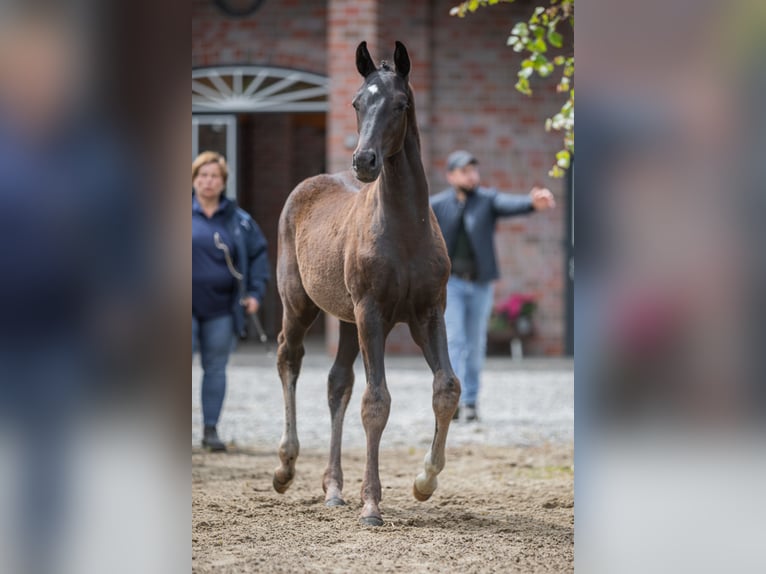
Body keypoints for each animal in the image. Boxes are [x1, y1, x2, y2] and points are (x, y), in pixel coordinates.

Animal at [272, 39, 460, 528]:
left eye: (400, 104)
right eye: (357, 102)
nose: (364, 161)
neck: (404, 230)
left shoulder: (428, 312)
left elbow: (446, 388)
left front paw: (424, 481)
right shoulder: (372, 311)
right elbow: (376, 401)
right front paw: (372, 504)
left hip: (346, 319)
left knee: (337, 382)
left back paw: (334, 488)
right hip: (301, 304)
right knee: (288, 358)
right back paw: (285, 466)